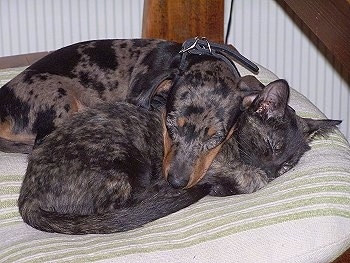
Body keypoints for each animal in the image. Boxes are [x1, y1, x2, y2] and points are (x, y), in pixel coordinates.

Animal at [17, 79, 340, 235]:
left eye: (287, 165)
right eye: (271, 146)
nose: (272, 173)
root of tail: (27, 197)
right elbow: (239, 179)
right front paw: (246, 179)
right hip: (122, 163)